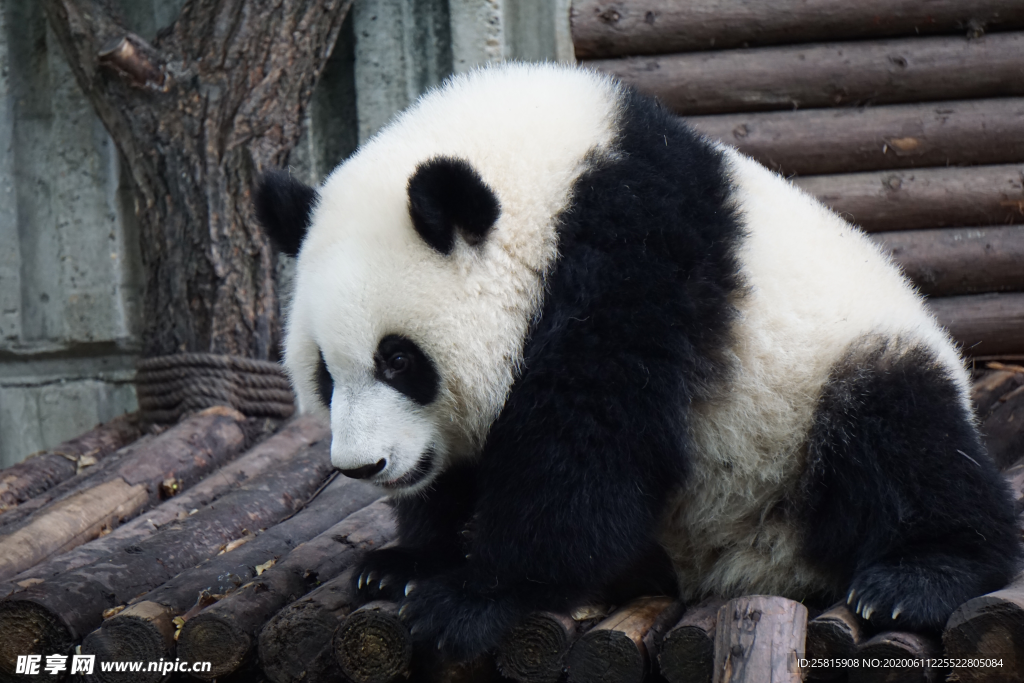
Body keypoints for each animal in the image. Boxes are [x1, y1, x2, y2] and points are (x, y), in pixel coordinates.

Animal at [253, 61, 1015, 659]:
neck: (547, 180)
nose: (364, 465)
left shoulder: (632, 264)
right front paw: (402, 564)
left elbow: (589, 448)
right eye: (325, 373)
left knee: (901, 437)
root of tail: (754, 563)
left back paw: (915, 577)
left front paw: (471, 597)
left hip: (827, 388)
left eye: (399, 360)